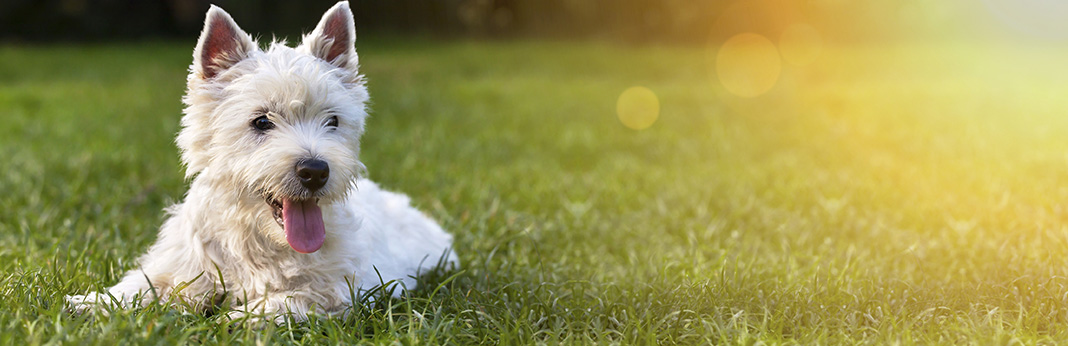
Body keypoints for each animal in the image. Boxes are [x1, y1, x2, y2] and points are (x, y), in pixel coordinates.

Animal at [65, 2, 459, 322]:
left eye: (332, 120)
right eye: (261, 122)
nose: (315, 171)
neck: (259, 238)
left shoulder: (336, 290)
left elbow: (278, 302)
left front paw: (229, 320)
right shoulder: (182, 267)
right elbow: (140, 285)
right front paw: (86, 303)